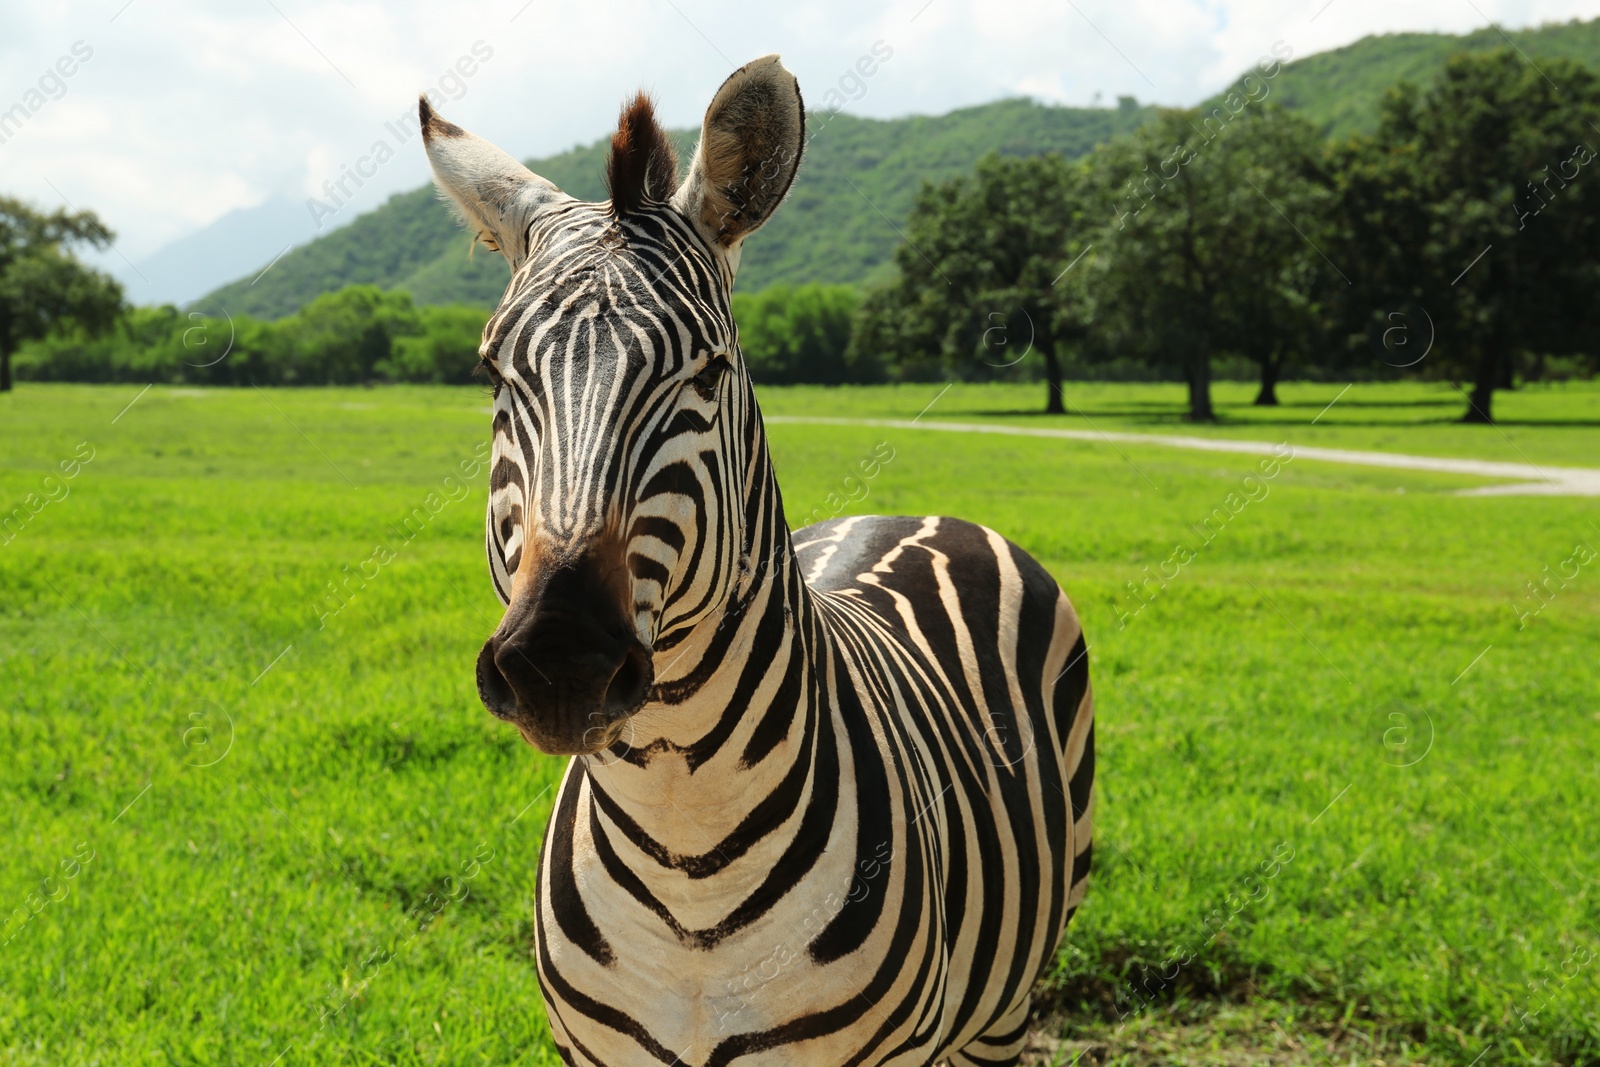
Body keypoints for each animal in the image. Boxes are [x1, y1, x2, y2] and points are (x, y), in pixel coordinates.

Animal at [419, 54, 1094, 1067]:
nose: (559, 662)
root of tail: (915, 512)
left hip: (1008, 1000)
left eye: (706, 372)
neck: (685, 850)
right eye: (494, 373)